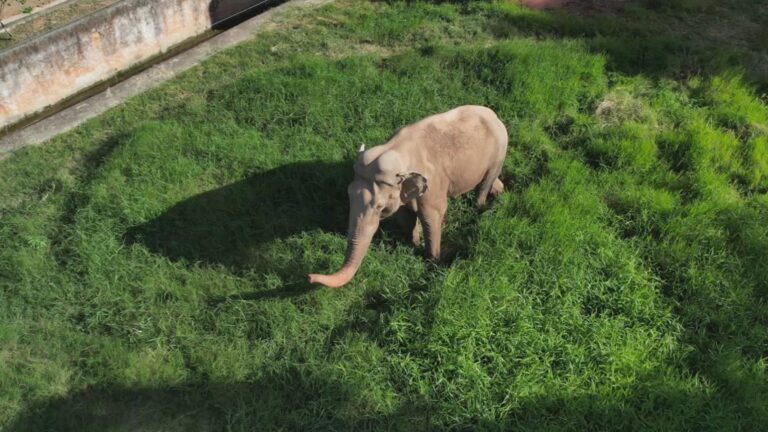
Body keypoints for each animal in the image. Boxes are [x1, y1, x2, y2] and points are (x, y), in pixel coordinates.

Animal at [308, 105, 508, 288]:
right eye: (348, 195)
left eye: (380, 207)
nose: (309, 277)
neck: (398, 150)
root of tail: (493, 114)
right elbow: (405, 216)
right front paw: (414, 243)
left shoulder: (433, 185)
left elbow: (432, 216)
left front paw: (433, 261)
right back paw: (500, 192)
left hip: (500, 151)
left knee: (484, 184)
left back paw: (480, 208)